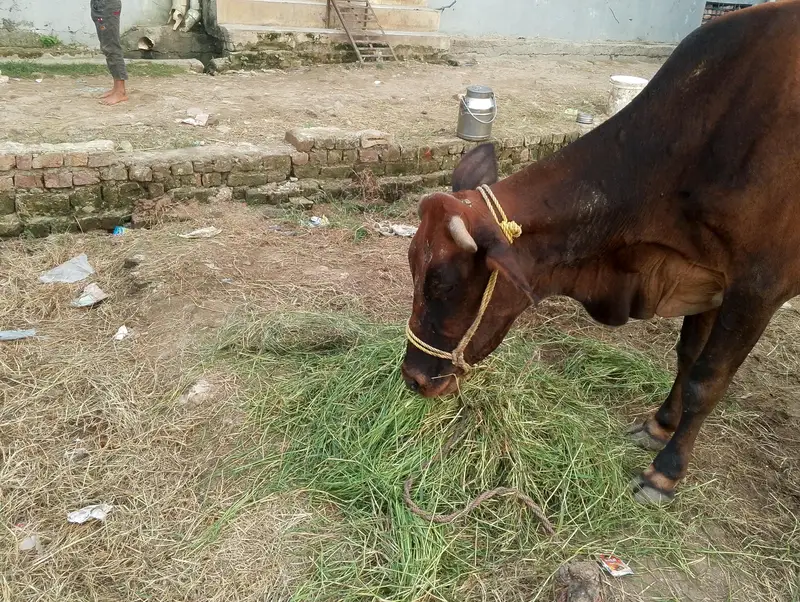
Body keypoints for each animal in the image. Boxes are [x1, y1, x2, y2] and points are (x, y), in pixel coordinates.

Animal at [401, 0, 800, 505]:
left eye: (444, 283)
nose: (412, 378)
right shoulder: (709, 274)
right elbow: (687, 356)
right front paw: (659, 425)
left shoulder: (757, 288)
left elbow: (706, 382)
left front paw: (665, 471)